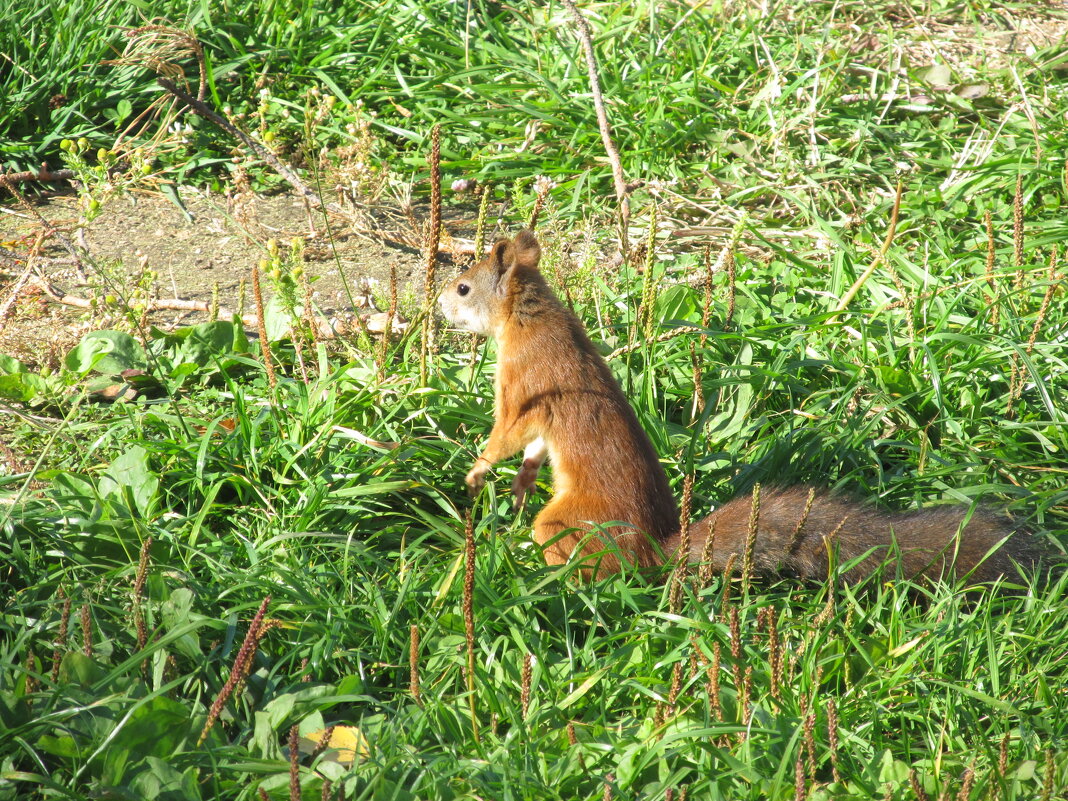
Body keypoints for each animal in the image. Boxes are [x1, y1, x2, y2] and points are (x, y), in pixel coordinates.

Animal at [437, 230, 1038, 585]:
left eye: (464, 287)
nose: (439, 305)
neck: (526, 318)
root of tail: (654, 550)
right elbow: (534, 448)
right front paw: (518, 483)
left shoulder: (525, 386)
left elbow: (508, 434)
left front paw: (476, 472)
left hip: (568, 525)